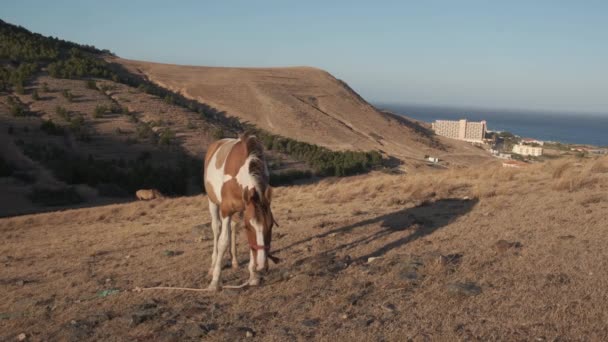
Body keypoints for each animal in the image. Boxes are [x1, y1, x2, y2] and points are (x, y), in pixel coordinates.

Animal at [204, 134, 280, 292]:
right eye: (249, 227)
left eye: (271, 226)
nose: (262, 266)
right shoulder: (226, 210)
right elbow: (223, 242)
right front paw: (215, 281)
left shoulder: (246, 209)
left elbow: (249, 242)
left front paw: (253, 276)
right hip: (212, 202)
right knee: (216, 229)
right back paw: (212, 266)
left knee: (233, 227)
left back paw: (234, 261)